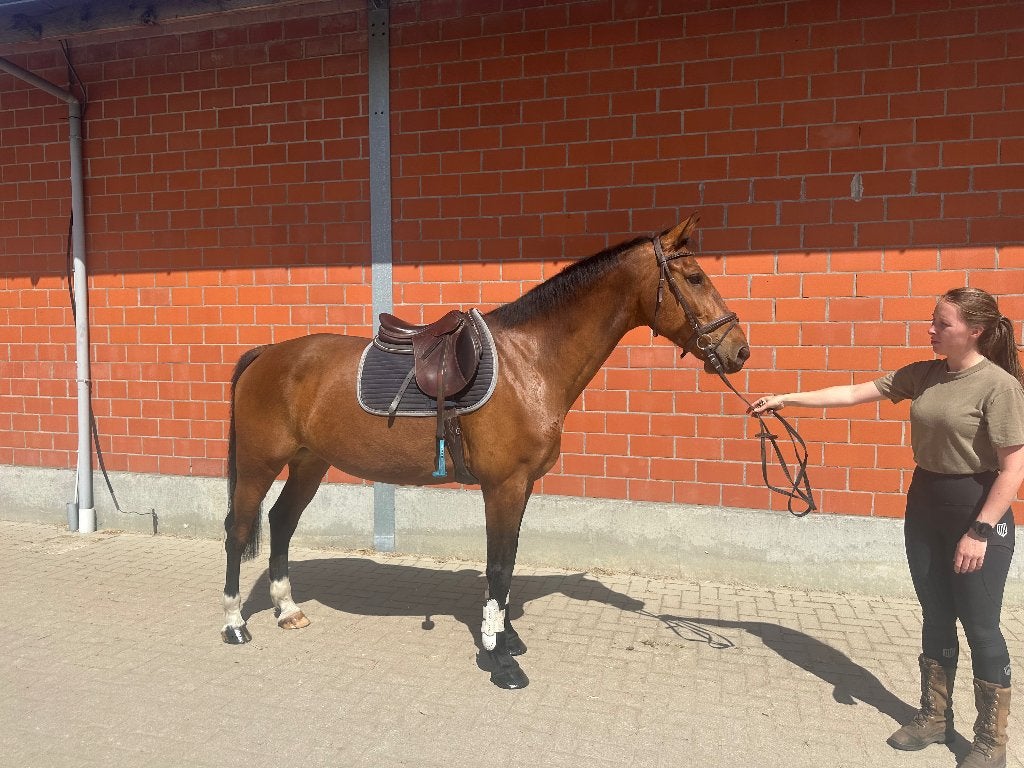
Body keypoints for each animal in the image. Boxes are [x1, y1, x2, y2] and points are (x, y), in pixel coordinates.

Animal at [221, 214, 750, 689]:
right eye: (696, 277)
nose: (740, 351)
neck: (529, 362)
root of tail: (266, 354)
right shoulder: (503, 486)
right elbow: (497, 567)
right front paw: (501, 661)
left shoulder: (522, 487)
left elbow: (509, 563)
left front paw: (506, 638)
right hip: (259, 463)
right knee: (239, 530)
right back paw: (234, 624)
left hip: (309, 462)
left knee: (282, 522)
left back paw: (288, 610)